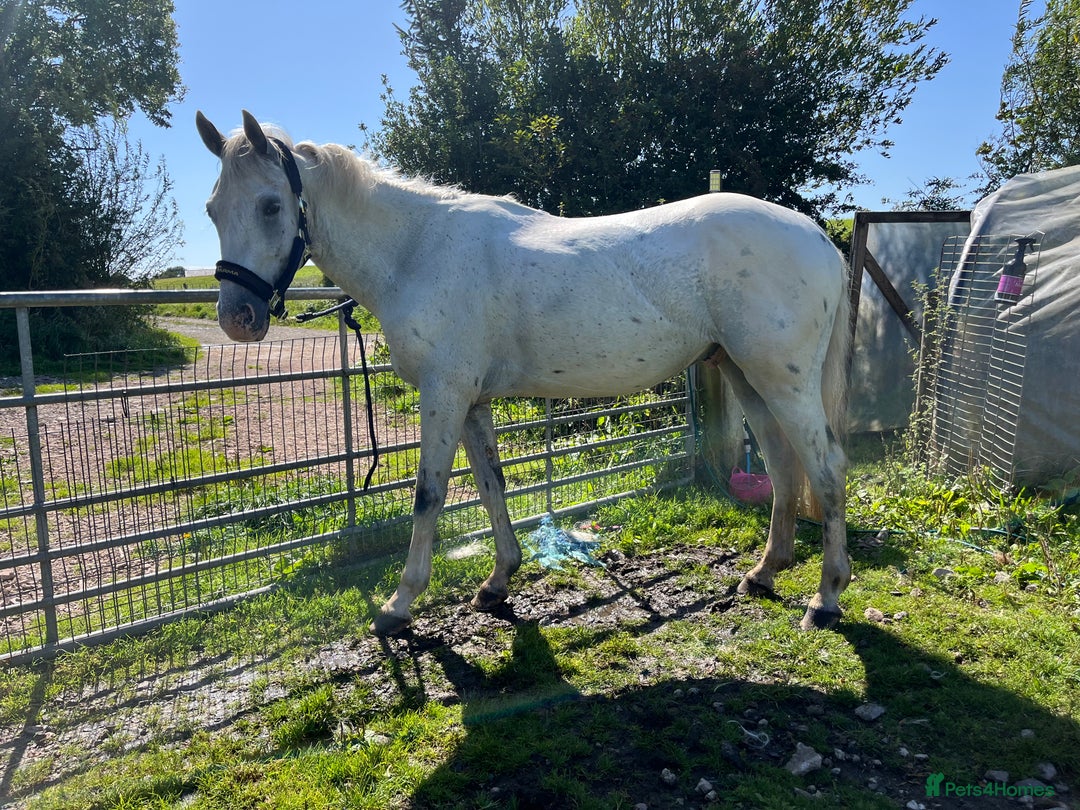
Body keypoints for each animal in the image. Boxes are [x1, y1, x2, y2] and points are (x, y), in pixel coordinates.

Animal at [196, 110, 852, 636]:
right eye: (212, 209)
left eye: (271, 205)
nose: (237, 318)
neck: (416, 250)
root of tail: (818, 237)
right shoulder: (472, 400)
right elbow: (492, 484)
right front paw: (497, 583)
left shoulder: (444, 394)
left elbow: (429, 495)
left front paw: (399, 605)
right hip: (745, 374)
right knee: (782, 465)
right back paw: (764, 574)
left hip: (783, 381)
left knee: (826, 471)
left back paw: (825, 599)